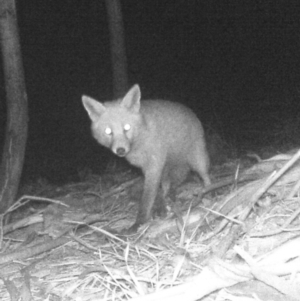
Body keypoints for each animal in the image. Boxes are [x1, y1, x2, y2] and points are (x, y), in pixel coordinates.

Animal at [81, 84, 210, 232]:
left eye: (127, 128)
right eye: (108, 132)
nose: (120, 150)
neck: (141, 138)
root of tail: (190, 111)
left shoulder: (154, 165)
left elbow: (147, 198)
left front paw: (139, 222)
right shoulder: (149, 168)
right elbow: (155, 193)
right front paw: (158, 208)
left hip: (197, 160)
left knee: (206, 176)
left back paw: (209, 191)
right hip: (168, 168)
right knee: (168, 186)